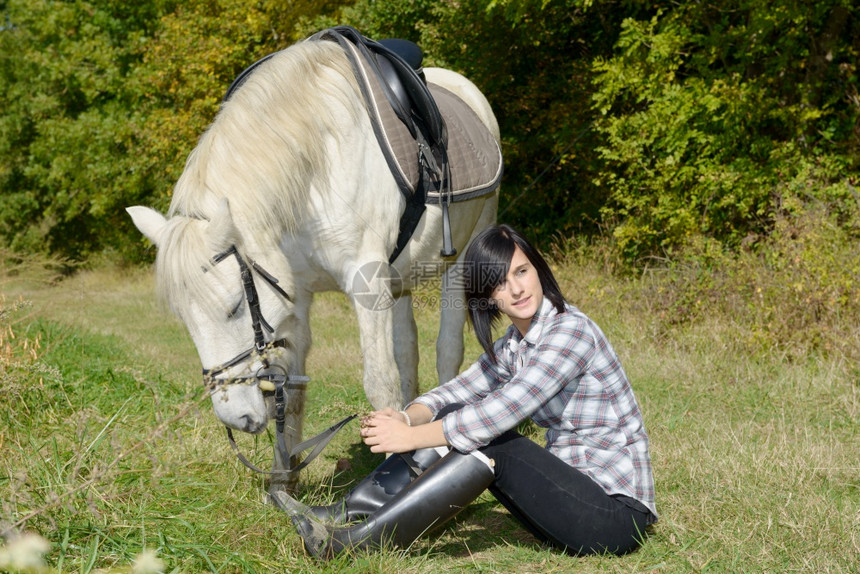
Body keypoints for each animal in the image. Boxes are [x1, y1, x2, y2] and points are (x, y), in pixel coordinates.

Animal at [131, 39, 500, 490]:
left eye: (234, 306)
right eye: (184, 320)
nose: (236, 418)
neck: (317, 170)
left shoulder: (366, 284)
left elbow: (380, 383)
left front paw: (398, 468)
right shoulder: (296, 295)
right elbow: (292, 389)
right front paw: (283, 480)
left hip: (463, 258)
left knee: (447, 350)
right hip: (400, 279)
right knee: (407, 349)